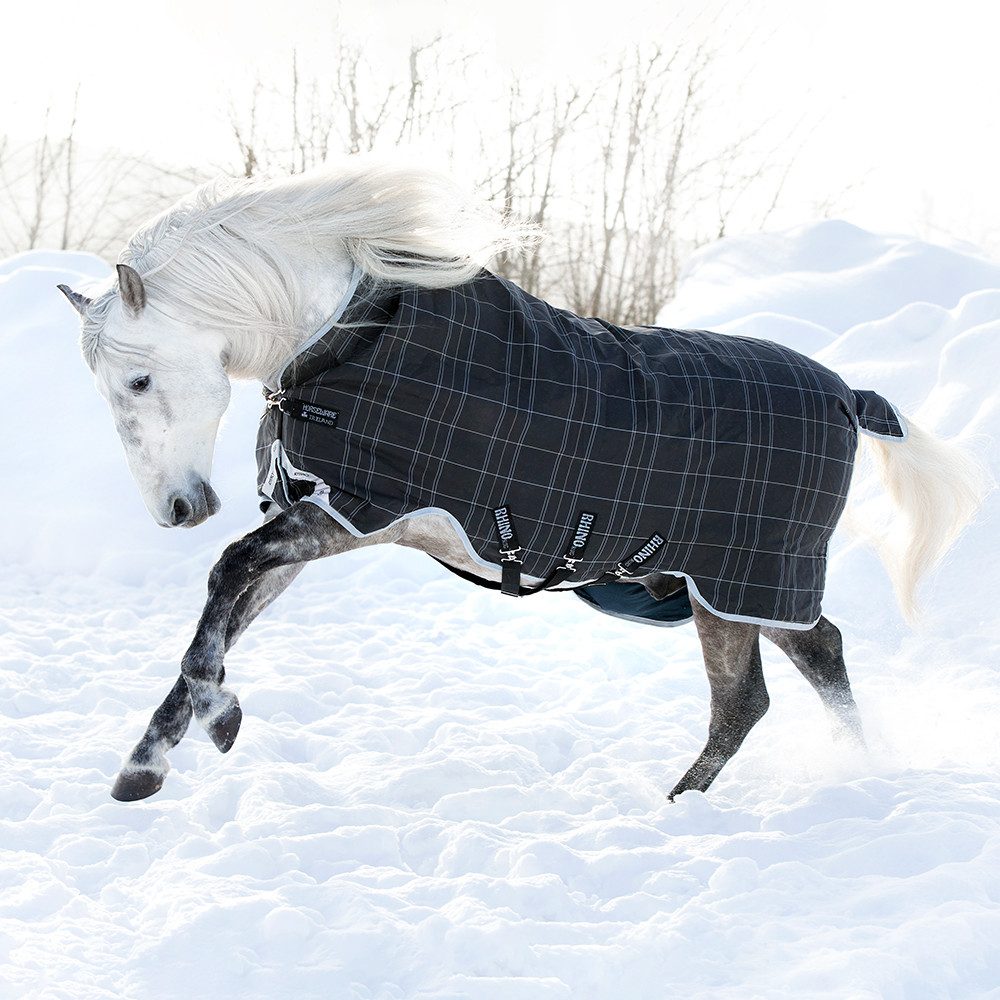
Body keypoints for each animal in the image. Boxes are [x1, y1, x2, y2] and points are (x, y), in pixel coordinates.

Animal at [56, 160, 984, 803]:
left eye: (137, 380)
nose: (179, 508)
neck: (355, 339)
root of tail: (846, 397)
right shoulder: (324, 522)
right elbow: (224, 615)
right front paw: (146, 764)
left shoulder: (350, 513)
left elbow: (223, 581)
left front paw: (212, 728)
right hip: (739, 586)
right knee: (815, 656)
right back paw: (853, 766)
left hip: (738, 584)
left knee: (748, 700)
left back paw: (682, 806)